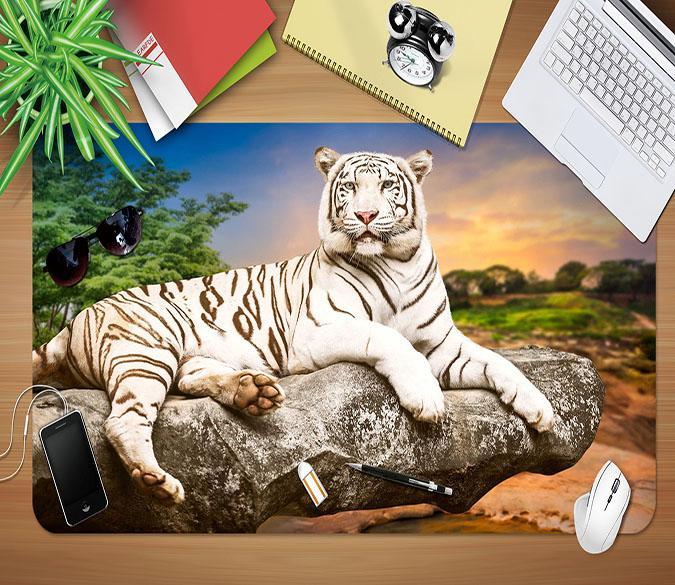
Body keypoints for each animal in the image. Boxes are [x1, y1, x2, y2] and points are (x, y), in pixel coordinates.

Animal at [33, 147, 555, 505]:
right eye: (349, 188)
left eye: (388, 186)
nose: (366, 215)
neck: (396, 260)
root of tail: (79, 315)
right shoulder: (320, 329)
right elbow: (387, 337)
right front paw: (426, 399)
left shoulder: (442, 343)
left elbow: (498, 363)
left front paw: (542, 410)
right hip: (147, 348)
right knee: (122, 421)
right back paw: (157, 481)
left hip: (183, 357)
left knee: (192, 379)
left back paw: (252, 393)